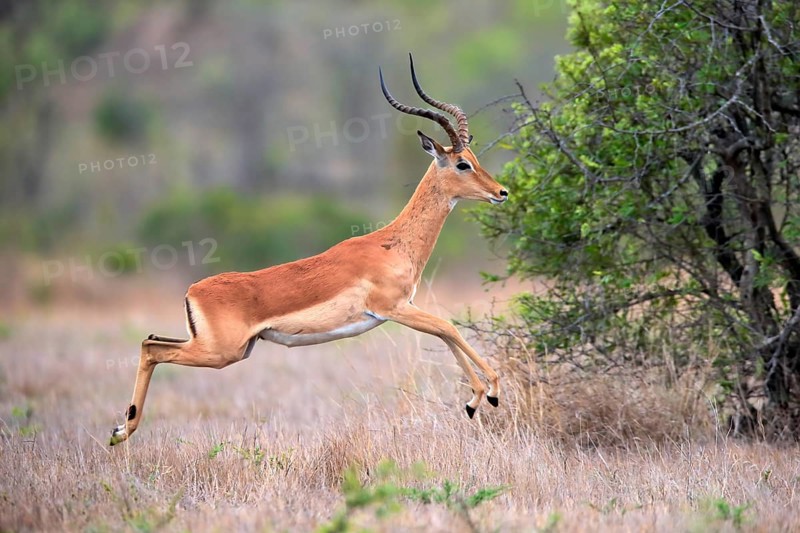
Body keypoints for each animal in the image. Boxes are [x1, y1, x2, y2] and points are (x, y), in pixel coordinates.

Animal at [110, 54, 508, 446]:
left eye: (475, 157)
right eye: (462, 163)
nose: (501, 192)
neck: (392, 244)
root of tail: (193, 290)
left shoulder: (405, 307)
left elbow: (445, 331)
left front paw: (474, 400)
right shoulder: (392, 309)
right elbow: (448, 327)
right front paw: (487, 393)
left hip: (226, 348)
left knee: (150, 341)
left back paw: (120, 429)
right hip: (221, 352)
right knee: (152, 349)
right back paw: (122, 431)